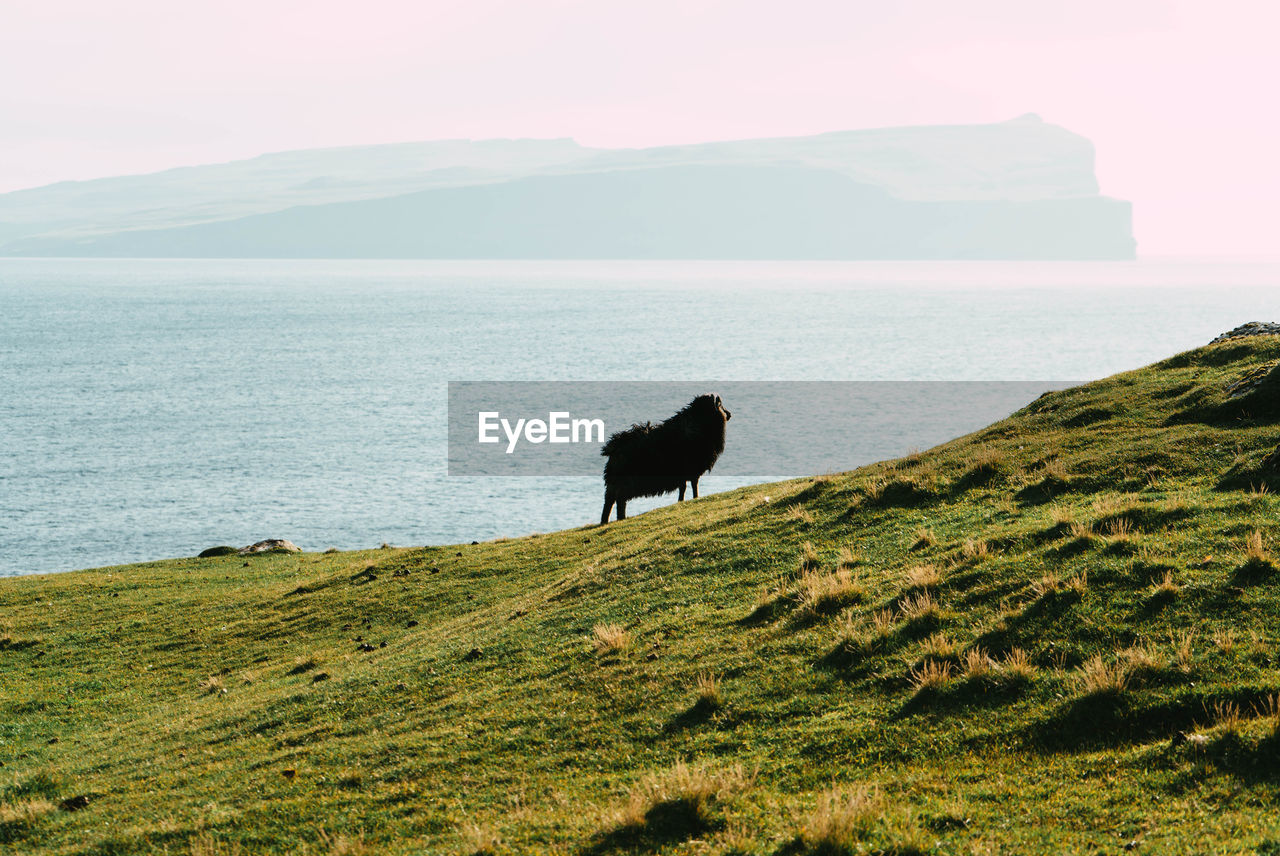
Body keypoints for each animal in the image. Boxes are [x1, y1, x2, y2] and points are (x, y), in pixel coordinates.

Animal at [599, 391, 732, 524]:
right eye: (720, 404)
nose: (729, 414)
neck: (699, 422)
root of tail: (614, 446)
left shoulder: (682, 472)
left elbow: (683, 487)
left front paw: (681, 501)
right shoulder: (692, 468)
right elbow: (693, 485)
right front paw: (695, 498)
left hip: (616, 482)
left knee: (613, 501)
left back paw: (611, 520)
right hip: (624, 481)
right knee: (616, 501)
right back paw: (615, 519)